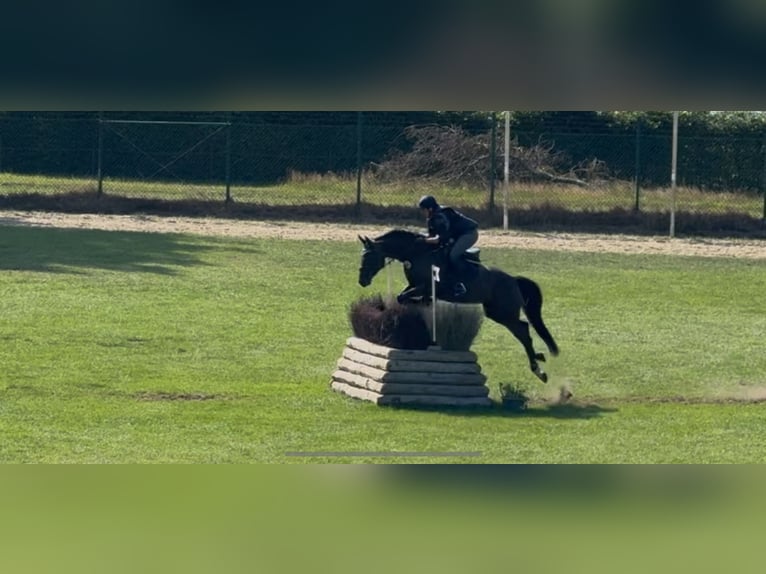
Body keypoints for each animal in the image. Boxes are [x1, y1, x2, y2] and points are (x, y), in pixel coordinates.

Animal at [357, 229, 559, 383]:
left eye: (369, 257)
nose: (362, 281)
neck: (416, 253)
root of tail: (514, 281)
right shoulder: (415, 286)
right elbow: (403, 296)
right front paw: (421, 303)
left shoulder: (427, 285)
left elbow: (404, 296)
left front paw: (422, 302)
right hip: (495, 312)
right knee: (523, 329)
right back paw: (538, 362)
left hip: (504, 313)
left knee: (523, 331)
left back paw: (538, 369)